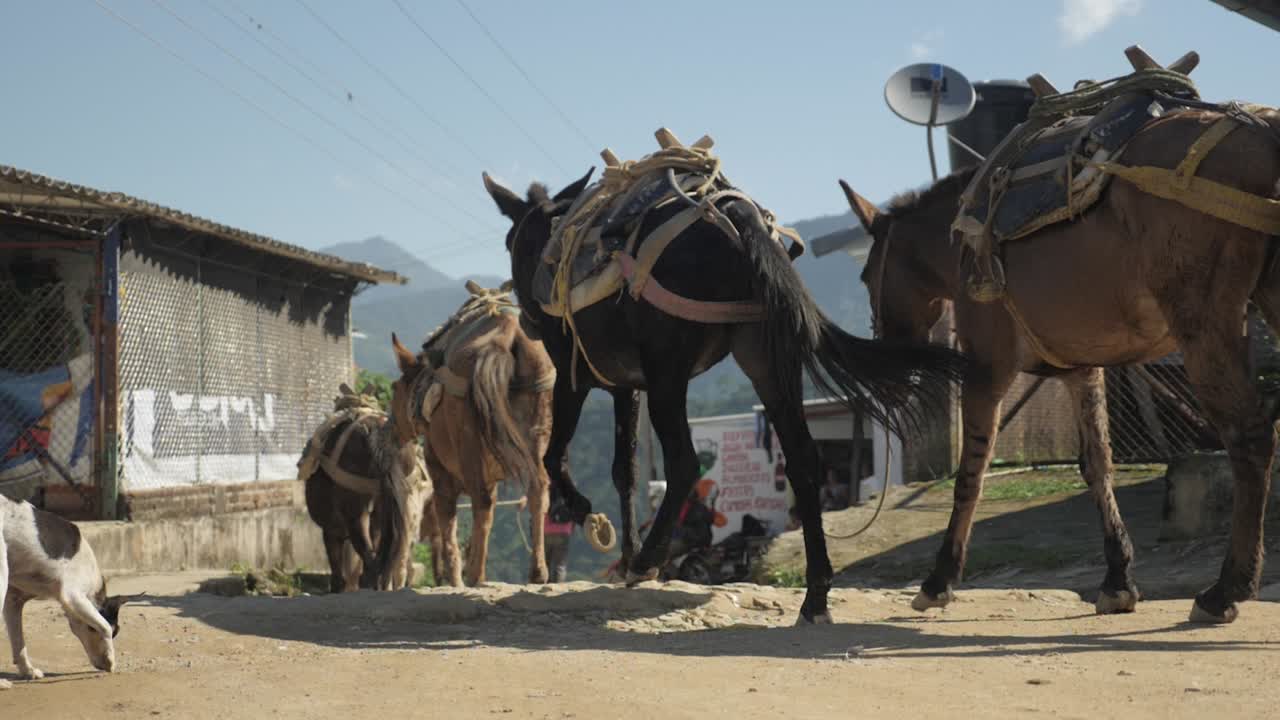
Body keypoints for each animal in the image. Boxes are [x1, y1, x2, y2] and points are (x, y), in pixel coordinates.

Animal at [390, 283, 557, 586]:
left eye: (396, 388)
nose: (392, 425)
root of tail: (505, 336)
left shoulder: (440, 472)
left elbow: (448, 529)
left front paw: (455, 577)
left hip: (469, 444)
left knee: (482, 502)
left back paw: (476, 574)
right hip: (535, 437)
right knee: (538, 488)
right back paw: (537, 571)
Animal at [482, 162, 967, 624]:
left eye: (508, 242)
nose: (526, 321)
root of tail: (736, 216)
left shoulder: (574, 376)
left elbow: (555, 459)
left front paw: (591, 519)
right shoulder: (626, 388)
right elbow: (626, 472)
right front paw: (623, 548)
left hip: (670, 375)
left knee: (684, 463)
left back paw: (649, 559)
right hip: (766, 362)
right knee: (802, 460)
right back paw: (814, 595)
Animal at [839, 103, 1280, 623]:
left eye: (866, 275)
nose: (888, 376)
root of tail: (1263, 132)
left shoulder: (987, 369)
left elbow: (972, 473)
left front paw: (940, 579)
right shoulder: (1080, 369)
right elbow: (1098, 465)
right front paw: (1118, 580)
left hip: (1204, 325)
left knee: (1249, 437)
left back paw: (1227, 588)